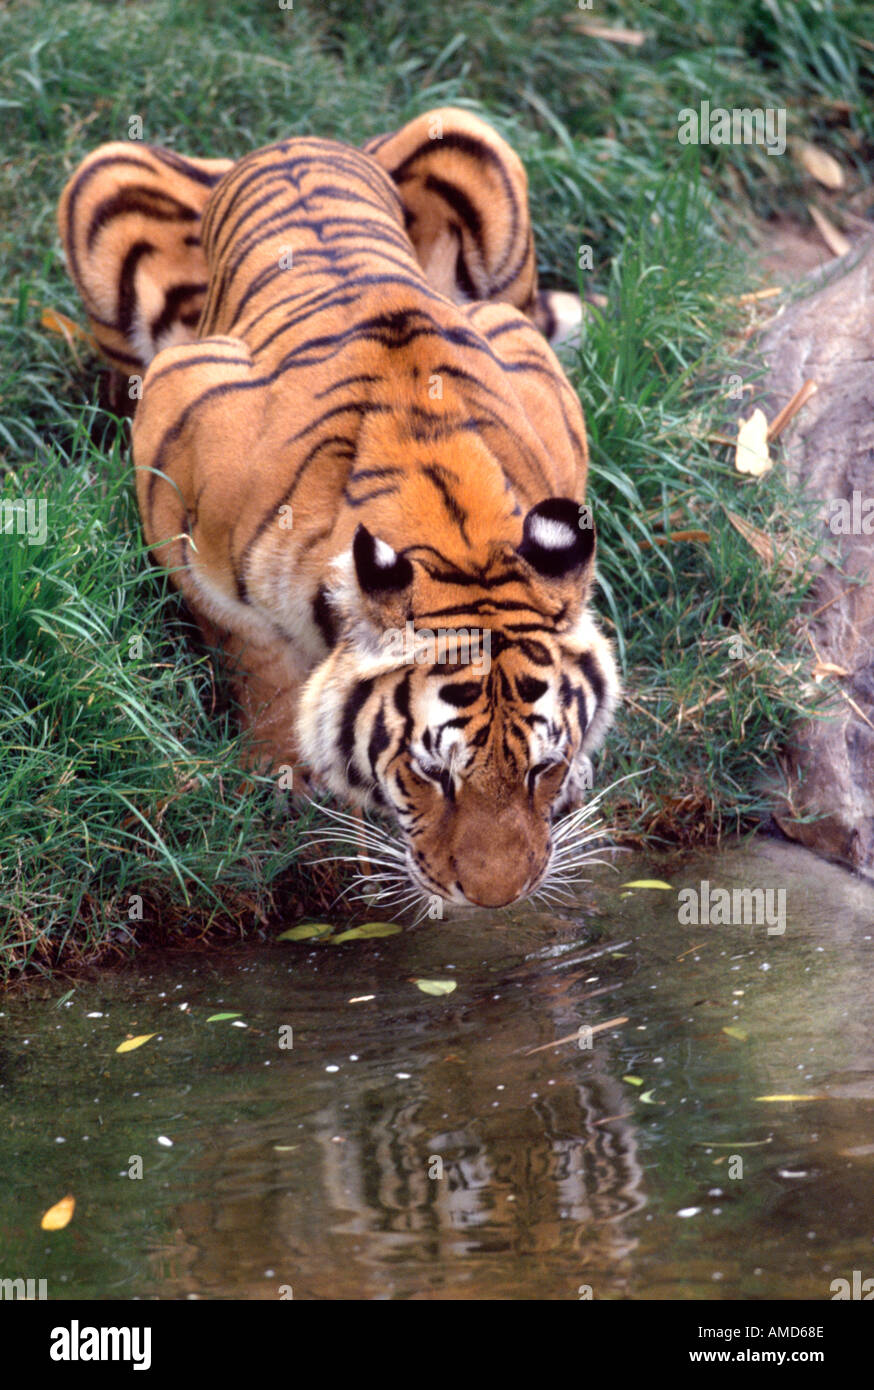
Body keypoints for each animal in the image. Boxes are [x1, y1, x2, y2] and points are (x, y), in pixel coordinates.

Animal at [58, 107, 620, 910]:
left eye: (540, 766)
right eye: (432, 773)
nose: (496, 899)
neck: (458, 531)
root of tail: (292, 141)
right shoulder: (177, 428)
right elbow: (252, 653)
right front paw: (285, 771)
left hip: (472, 140)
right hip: (102, 181)